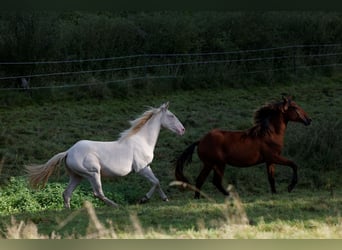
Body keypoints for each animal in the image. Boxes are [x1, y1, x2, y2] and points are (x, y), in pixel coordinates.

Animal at [26, 102, 184, 208]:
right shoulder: (142, 168)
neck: (142, 140)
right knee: (97, 193)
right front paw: (144, 199)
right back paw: (116, 206)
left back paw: (68, 212)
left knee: (67, 193)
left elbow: (156, 182)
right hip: (93, 173)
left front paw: (164, 198)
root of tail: (69, 151)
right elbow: (156, 181)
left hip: (77, 176)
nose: (182, 130)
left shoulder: (146, 167)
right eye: (171, 116)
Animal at [175, 95, 312, 197]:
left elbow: (271, 178)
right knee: (213, 181)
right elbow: (294, 165)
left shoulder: (270, 161)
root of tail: (200, 141)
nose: (309, 120)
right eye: (294, 107)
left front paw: (274, 193)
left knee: (202, 181)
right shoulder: (274, 157)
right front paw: (290, 187)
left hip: (211, 165)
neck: (270, 134)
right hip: (217, 164)